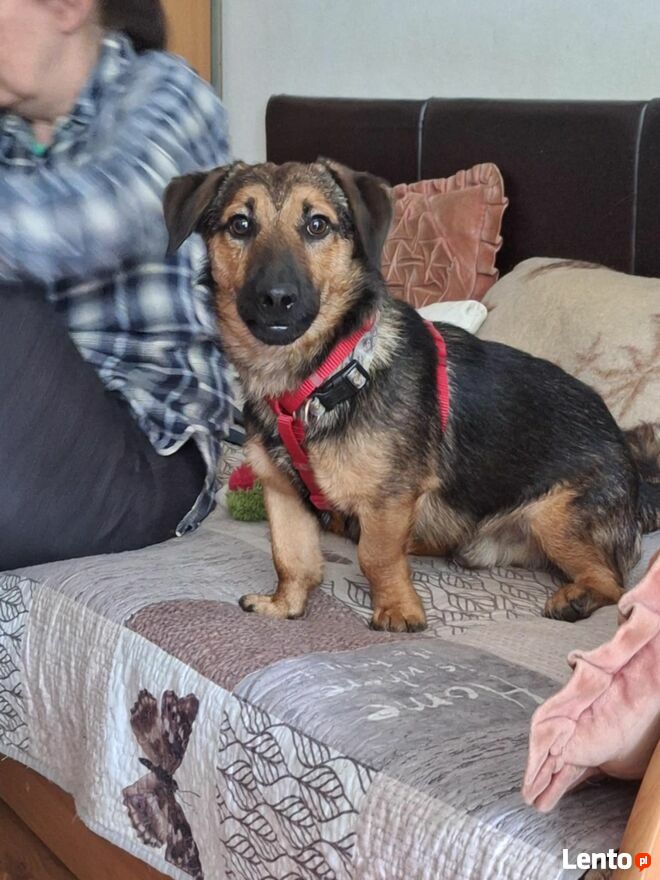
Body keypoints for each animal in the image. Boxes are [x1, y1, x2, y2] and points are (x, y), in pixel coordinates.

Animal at [163, 159, 660, 632]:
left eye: (317, 225)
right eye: (240, 225)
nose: (276, 298)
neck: (318, 375)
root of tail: (636, 475)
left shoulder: (390, 497)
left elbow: (376, 556)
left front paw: (398, 611)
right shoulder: (281, 491)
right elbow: (290, 557)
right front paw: (285, 605)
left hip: (555, 516)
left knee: (614, 583)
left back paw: (577, 596)